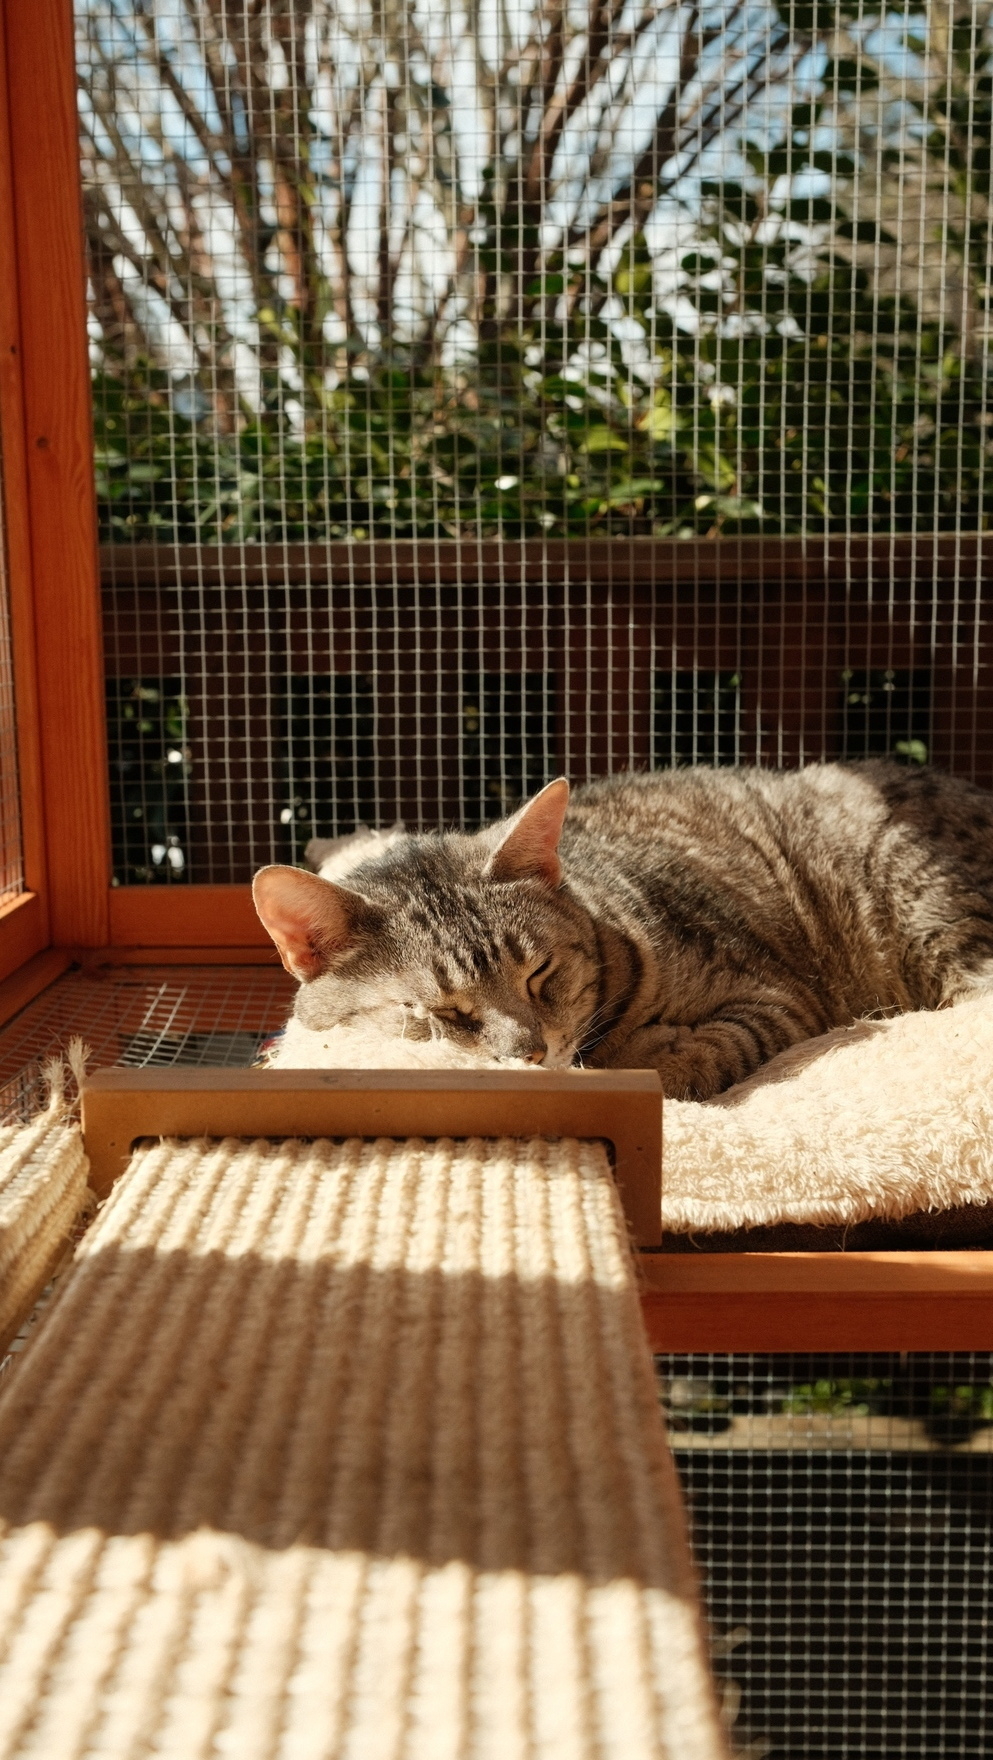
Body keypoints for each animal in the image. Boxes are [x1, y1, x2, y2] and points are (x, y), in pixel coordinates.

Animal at [250, 760, 993, 1091]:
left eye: (540, 973)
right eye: (441, 1011)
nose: (528, 1053)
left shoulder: (772, 997)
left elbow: (695, 1055)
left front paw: (647, 1058)